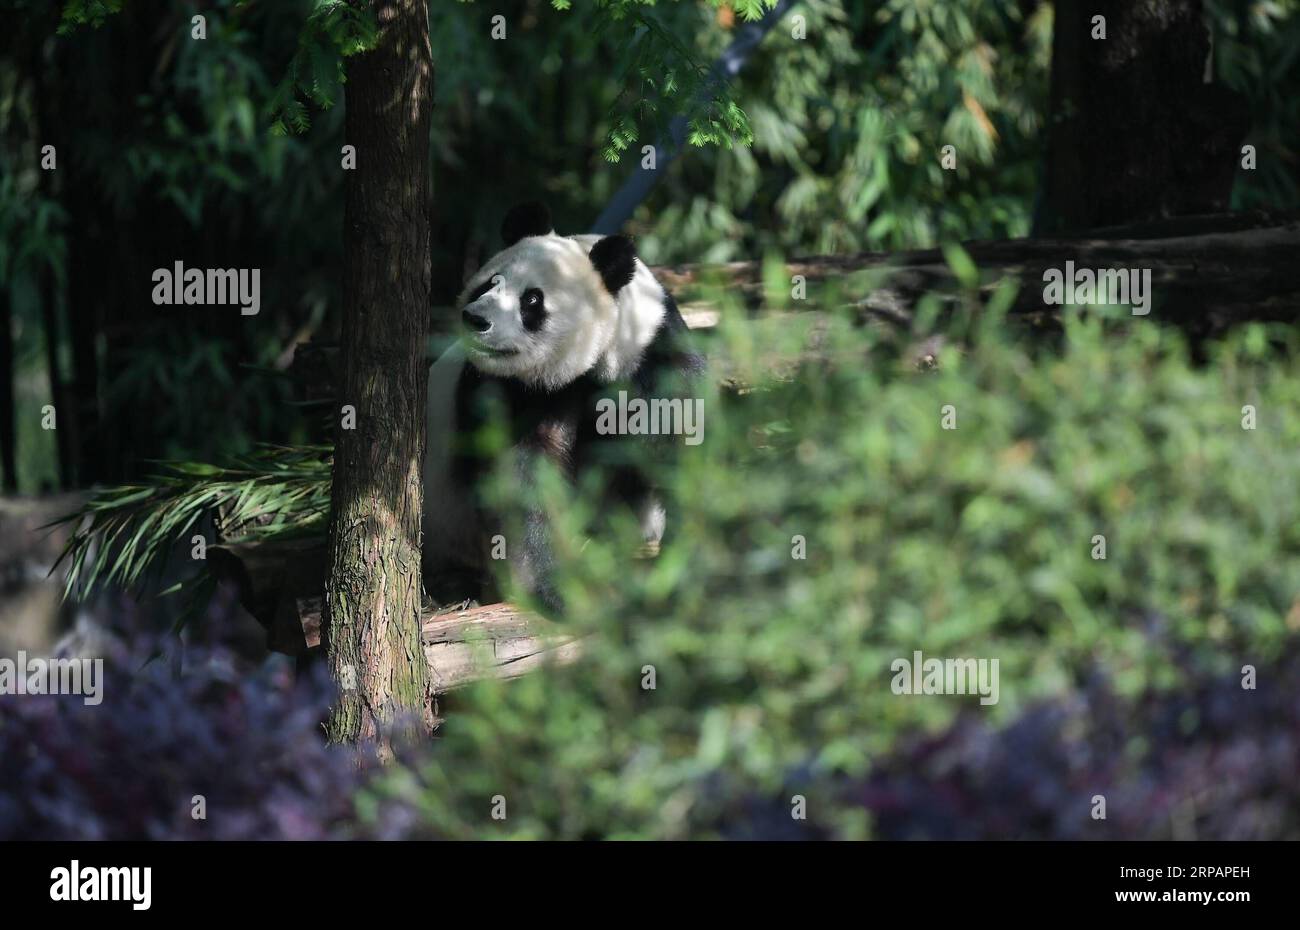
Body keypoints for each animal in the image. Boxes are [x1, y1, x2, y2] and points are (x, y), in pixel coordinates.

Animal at [423, 204, 707, 611]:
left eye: (532, 300)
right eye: (489, 283)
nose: (476, 318)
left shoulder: (654, 355)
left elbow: (681, 448)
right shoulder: (507, 392)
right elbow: (523, 479)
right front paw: (559, 586)